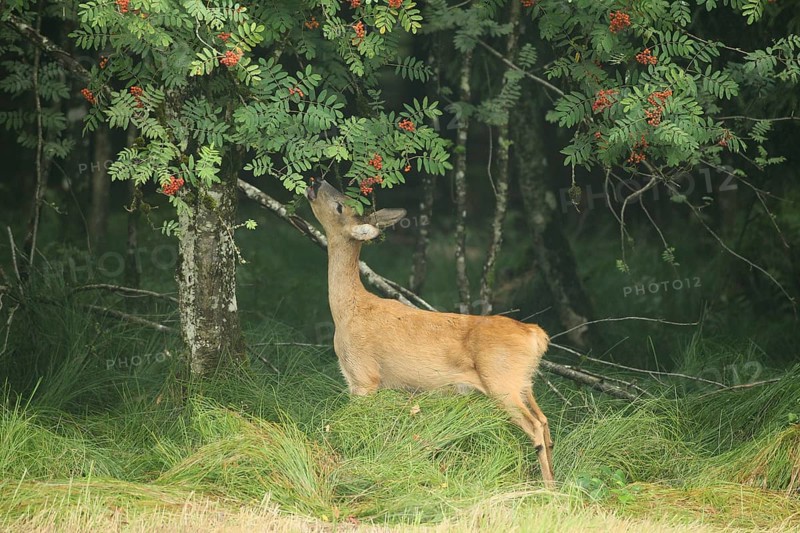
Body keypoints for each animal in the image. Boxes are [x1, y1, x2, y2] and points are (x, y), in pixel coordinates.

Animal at [306, 179, 554, 484]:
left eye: (340, 207)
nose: (318, 181)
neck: (348, 311)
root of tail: (535, 334)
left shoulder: (363, 376)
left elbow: (353, 423)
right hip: (523, 382)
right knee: (544, 420)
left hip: (501, 381)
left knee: (534, 426)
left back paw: (547, 486)